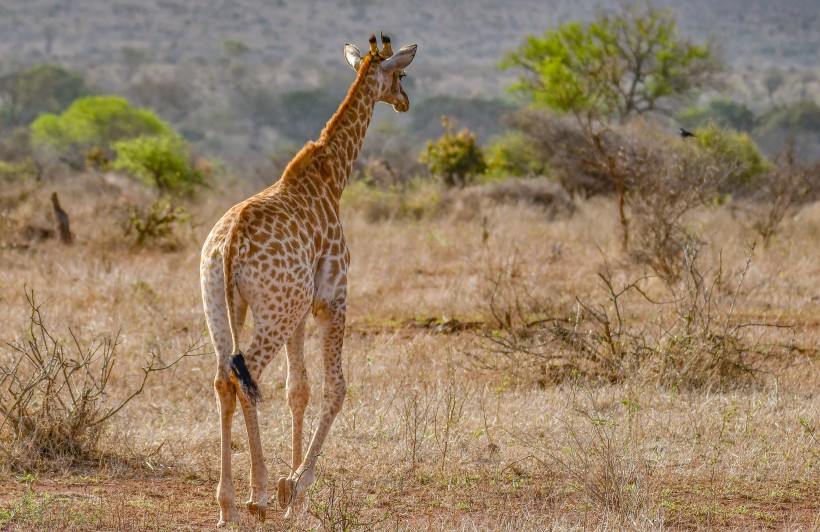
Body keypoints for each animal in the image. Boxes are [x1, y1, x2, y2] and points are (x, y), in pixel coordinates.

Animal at [199, 34, 416, 528]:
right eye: (401, 73)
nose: (405, 102)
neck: (333, 177)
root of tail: (229, 245)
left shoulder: (300, 308)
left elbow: (297, 390)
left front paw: (291, 489)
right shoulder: (332, 295)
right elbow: (336, 389)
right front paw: (294, 485)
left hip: (221, 306)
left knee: (223, 379)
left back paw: (227, 504)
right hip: (272, 312)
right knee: (244, 376)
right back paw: (256, 495)